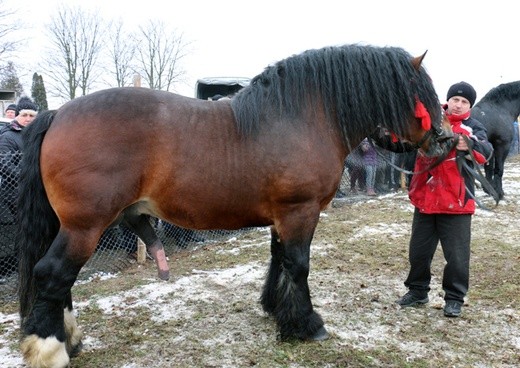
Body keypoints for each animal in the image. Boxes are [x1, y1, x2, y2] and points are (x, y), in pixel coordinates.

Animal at [17, 43, 450, 368]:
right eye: (422, 96)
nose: (445, 140)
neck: (301, 118)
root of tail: (58, 114)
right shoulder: (301, 211)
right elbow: (298, 264)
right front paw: (307, 324)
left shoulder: (283, 215)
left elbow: (279, 259)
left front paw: (277, 310)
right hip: (85, 226)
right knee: (53, 274)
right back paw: (50, 349)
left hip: (72, 226)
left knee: (62, 281)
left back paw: (69, 339)